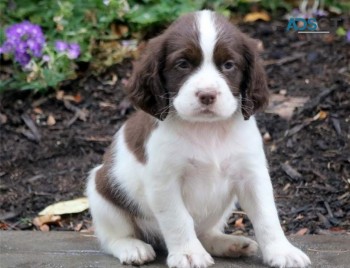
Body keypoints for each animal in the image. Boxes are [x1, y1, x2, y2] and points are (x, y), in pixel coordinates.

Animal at [86, 9, 310, 268]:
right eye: (182, 64)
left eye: (229, 65)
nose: (207, 95)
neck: (207, 129)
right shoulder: (164, 182)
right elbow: (178, 219)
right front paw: (188, 253)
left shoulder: (251, 174)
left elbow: (266, 215)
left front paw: (282, 251)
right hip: (101, 189)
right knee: (112, 237)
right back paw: (132, 247)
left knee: (205, 233)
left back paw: (228, 243)